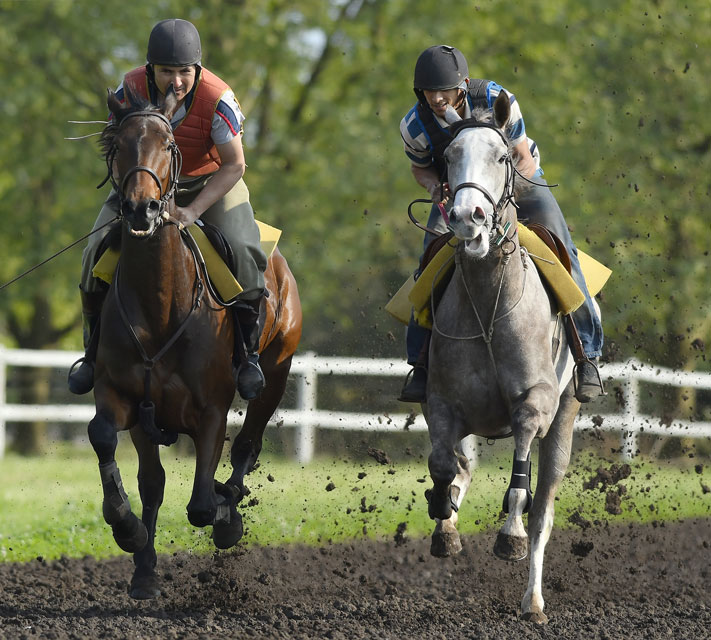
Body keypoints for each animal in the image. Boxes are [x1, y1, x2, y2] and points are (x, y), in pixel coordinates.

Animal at [89, 86, 300, 600]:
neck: (161, 305)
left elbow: (202, 504)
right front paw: (131, 537)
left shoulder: (211, 410)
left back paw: (231, 501)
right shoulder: (125, 399)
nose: (142, 209)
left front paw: (225, 516)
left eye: (167, 145)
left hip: (275, 373)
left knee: (247, 445)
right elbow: (119, 453)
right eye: (118, 144)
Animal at [420, 97, 592, 624]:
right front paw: (445, 526)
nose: (467, 218)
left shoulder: (534, 404)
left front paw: (508, 536)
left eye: (502, 157)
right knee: (459, 467)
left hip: (564, 422)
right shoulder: (442, 403)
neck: (489, 304)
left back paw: (532, 600)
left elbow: (521, 488)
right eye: (448, 156)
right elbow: (443, 464)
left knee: (544, 510)